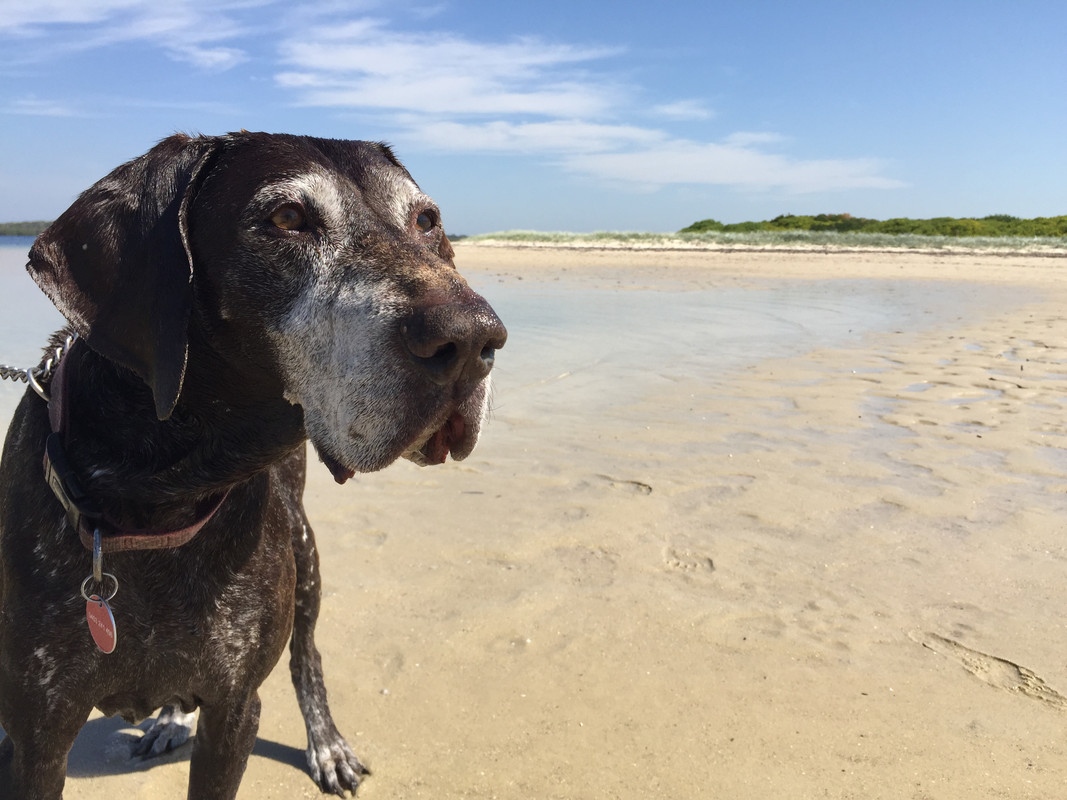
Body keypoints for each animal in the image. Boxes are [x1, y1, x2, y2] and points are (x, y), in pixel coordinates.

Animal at [0, 134, 505, 797]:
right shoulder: (38, 731)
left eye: (426, 222)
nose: (474, 340)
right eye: (286, 218)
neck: (160, 495)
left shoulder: (236, 707)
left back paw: (324, 744)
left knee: (308, 660)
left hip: (306, 563)